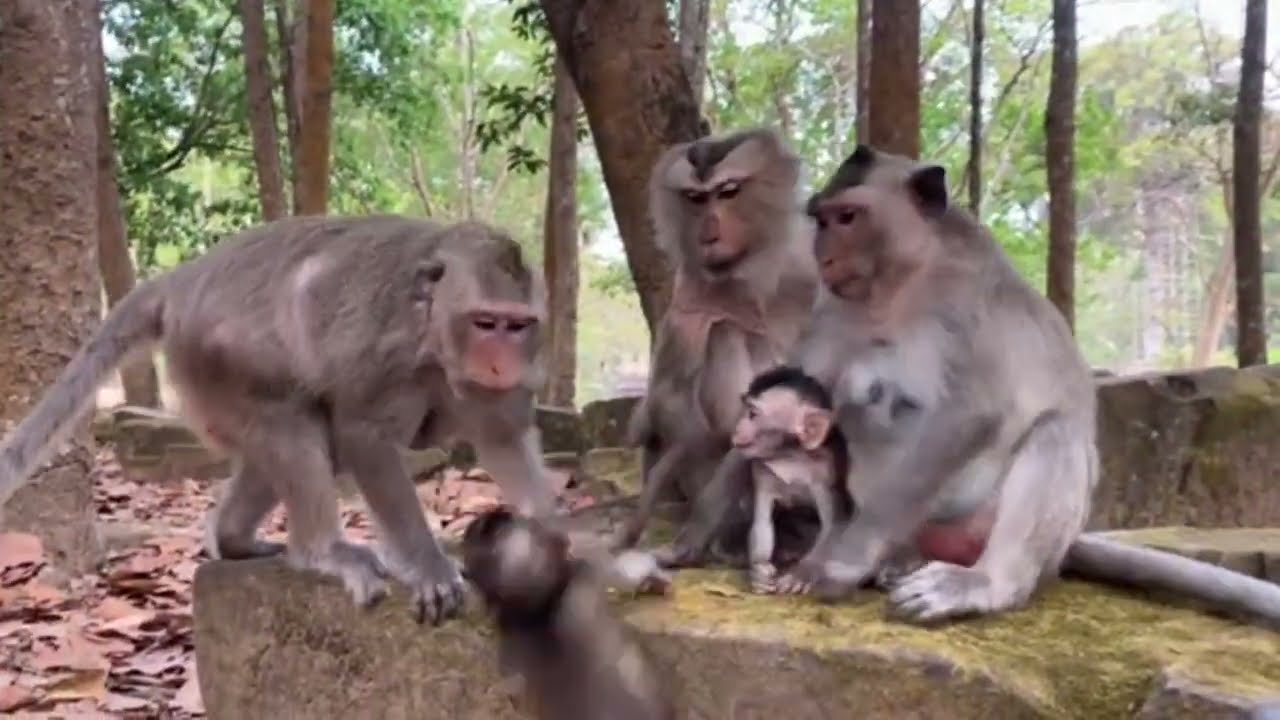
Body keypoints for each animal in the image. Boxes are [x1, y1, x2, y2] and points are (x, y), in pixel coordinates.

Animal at [0, 215, 558, 626]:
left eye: (518, 326)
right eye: (485, 324)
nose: (501, 363)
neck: (436, 337)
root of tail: (185, 277)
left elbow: (503, 437)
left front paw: (553, 530)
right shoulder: (389, 358)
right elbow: (364, 436)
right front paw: (427, 565)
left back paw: (233, 539)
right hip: (217, 352)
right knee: (294, 424)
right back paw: (321, 552)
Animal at [612, 127, 819, 554]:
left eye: (728, 191)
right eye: (695, 198)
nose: (708, 231)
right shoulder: (690, 288)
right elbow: (667, 397)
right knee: (723, 333)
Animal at [663, 144, 1280, 629]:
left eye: (848, 216)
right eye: (821, 218)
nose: (825, 255)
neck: (902, 285)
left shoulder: (968, 308)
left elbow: (973, 412)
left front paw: (840, 561)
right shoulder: (833, 308)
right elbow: (804, 390)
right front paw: (696, 532)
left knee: (1052, 437)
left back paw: (977, 583)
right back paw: (898, 558)